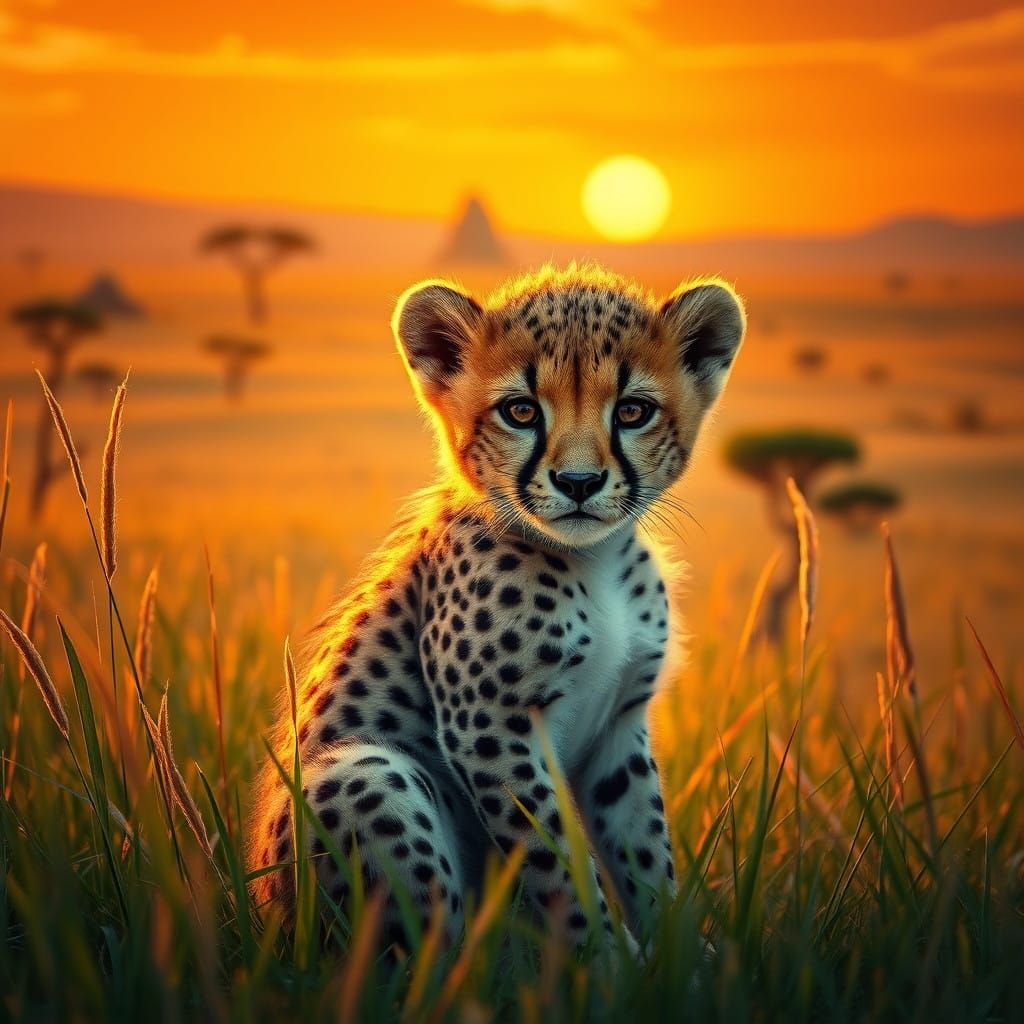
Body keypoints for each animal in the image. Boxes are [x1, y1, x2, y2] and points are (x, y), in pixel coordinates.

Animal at [247, 263, 745, 956]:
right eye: (520, 411)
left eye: (633, 411)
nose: (579, 483)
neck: (593, 561)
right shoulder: (492, 729)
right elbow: (559, 866)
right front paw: (608, 961)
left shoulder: (620, 725)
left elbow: (645, 853)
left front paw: (680, 960)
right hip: (360, 772)